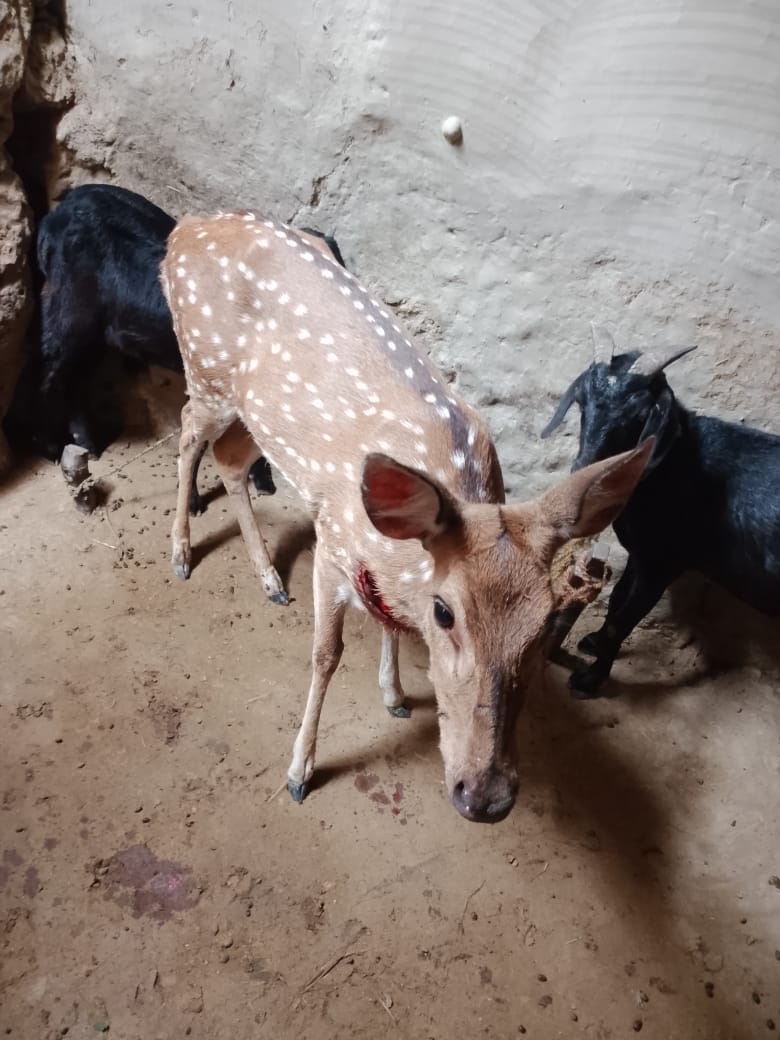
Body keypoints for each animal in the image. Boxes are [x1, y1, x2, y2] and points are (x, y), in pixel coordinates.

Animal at [160, 213, 652, 823]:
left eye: (546, 624)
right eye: (445, 612)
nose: (485, 797)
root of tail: (183, 230)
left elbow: (386, 618)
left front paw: (393, 694)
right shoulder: (332, 544)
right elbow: (325, 654)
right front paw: (300, 771)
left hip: (259, 417)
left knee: (229, 459)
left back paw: (269, 577)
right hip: (204, 370)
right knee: (186, 431)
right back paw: (180, 552)